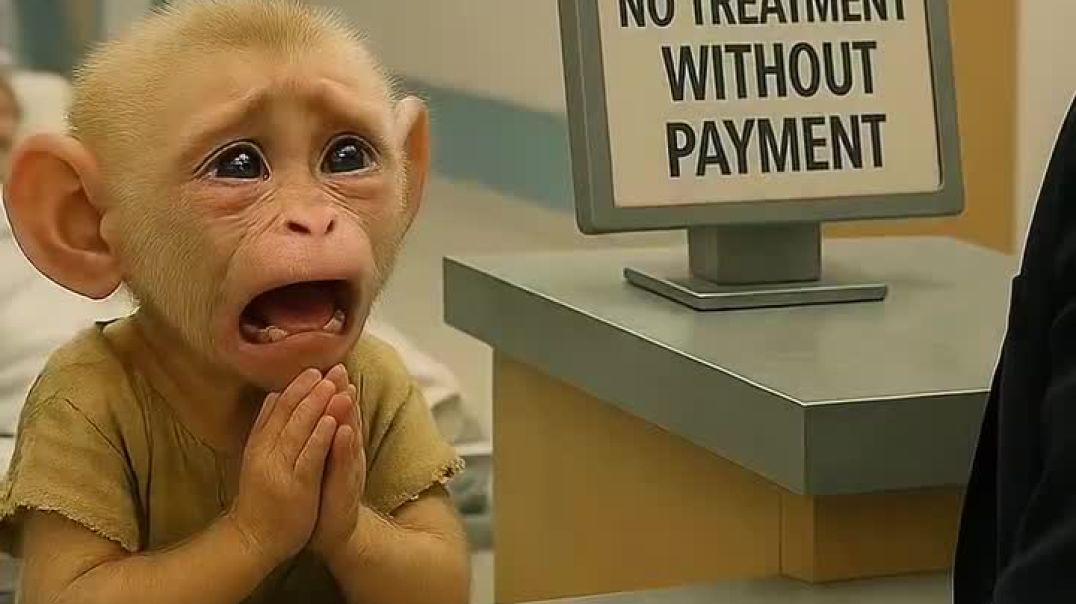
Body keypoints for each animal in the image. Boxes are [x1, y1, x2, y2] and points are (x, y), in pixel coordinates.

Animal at [0, 2, 470, 603]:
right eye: (240, 165)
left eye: (346, 156)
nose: (313, 221)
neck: (221, 388)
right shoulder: (68, 404)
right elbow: (78, 586)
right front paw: (273, 490)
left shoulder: (394, 379)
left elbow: (435, 567)